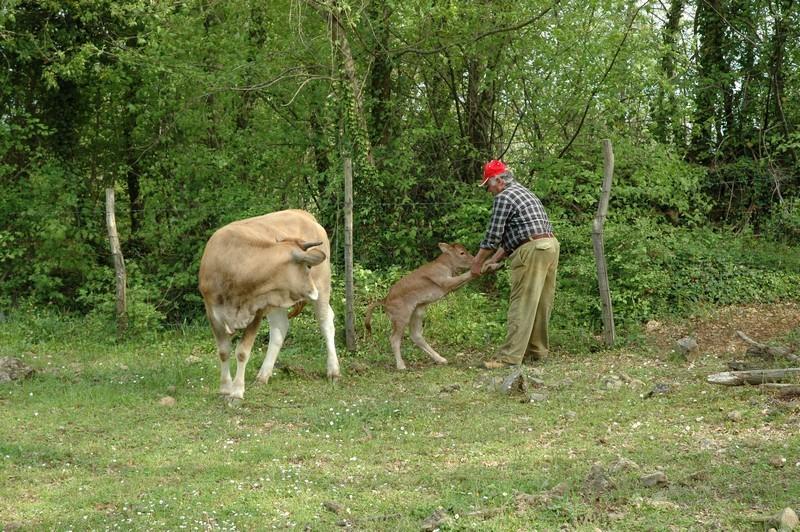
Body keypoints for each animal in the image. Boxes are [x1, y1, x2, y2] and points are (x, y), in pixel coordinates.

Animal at [200, 208, 340, 400]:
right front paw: (225, 389)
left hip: (323, 285)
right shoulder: (212, 311)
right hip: (277, 301)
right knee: (280, 328)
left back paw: (333, 371)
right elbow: (223, 351)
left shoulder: (256, 311)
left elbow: (242, 352)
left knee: (326, 322)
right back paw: (263, 375)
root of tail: (302, 213)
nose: (312, 290)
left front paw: (237, 391)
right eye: (307, 267)